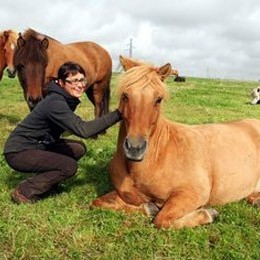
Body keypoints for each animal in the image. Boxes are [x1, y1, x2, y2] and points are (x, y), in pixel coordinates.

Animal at [91, 55, 260, 230]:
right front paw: (149, 208)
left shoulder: (193, 193)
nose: (135, 148)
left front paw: (208, 214)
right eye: (125, 95)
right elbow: (97, 202)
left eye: (158, 99)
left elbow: (162, 219)